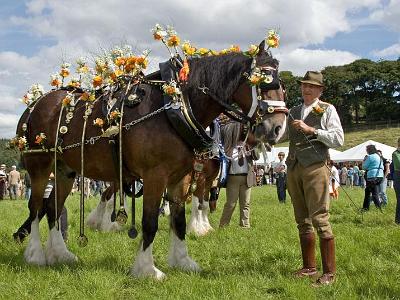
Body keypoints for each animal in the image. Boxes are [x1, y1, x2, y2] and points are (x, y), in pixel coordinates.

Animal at [14, 39, 286, 278]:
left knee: (53, 208)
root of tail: (34, 106)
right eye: (264, 81)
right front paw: (147, 270)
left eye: (281, 83)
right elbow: (150, 222)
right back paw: (36, 255)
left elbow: (179, 221)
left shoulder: (181, 178)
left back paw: (60, 254)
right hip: (39, 167)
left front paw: (183, 261)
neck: (175, 107)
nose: (277, 128)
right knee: (36, 207)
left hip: (65, 170)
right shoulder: (156, 176)